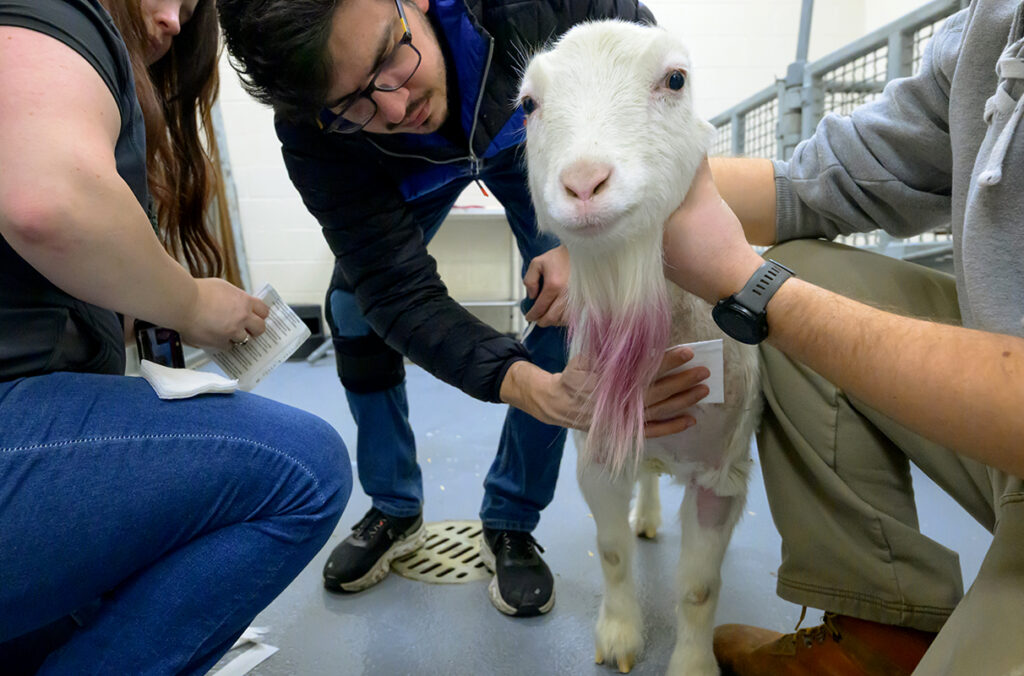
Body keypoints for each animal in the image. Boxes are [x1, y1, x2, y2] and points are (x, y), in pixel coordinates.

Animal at [519, 20, 761, 675]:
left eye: (675, 79)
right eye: (528, 105)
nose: (583, 183)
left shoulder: (722, 473)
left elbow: (699, 588)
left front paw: (693, 664)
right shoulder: (597, 455)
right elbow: (610, 553)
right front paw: (621, 637)